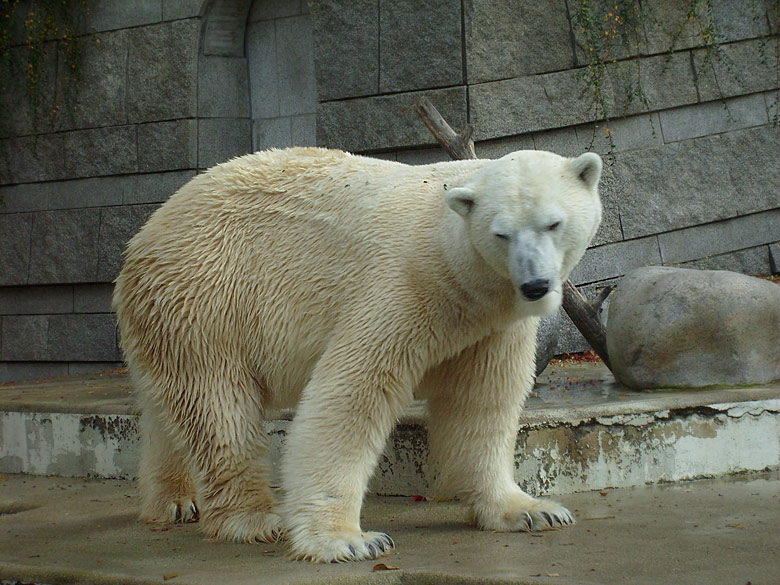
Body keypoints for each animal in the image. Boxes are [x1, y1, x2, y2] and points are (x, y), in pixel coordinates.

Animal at [112, 146, 604, 560]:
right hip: (205, 295)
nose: (536, 285)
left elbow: (482, 402)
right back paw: (254, 518)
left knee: (172, 407)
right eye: (501, 234)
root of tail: (142, 237)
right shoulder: (404, 288)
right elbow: (351, 393)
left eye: (553, 223)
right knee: (219, 409)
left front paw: (532, 510)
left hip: (173, 314)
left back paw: (175, 501)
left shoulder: (488, 324)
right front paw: (348, 540)